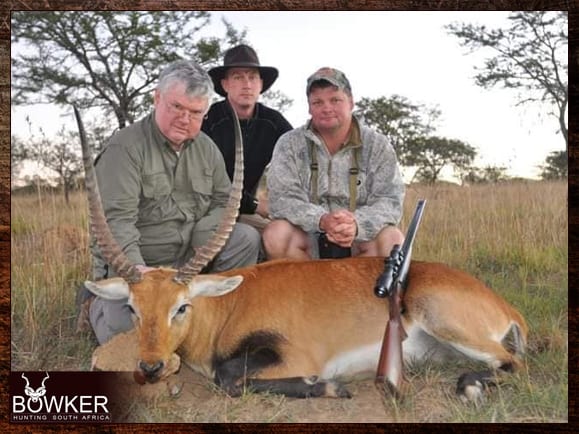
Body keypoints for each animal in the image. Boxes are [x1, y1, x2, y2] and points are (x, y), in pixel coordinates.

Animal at [77, 107, 532, 402]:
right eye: (133, 308)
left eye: (181, 306)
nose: (151, 366)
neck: (227, 306)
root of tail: (506, 306)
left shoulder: (293, 356)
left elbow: (230, 378)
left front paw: (329, 386)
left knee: (516, 366)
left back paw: (469, 386)